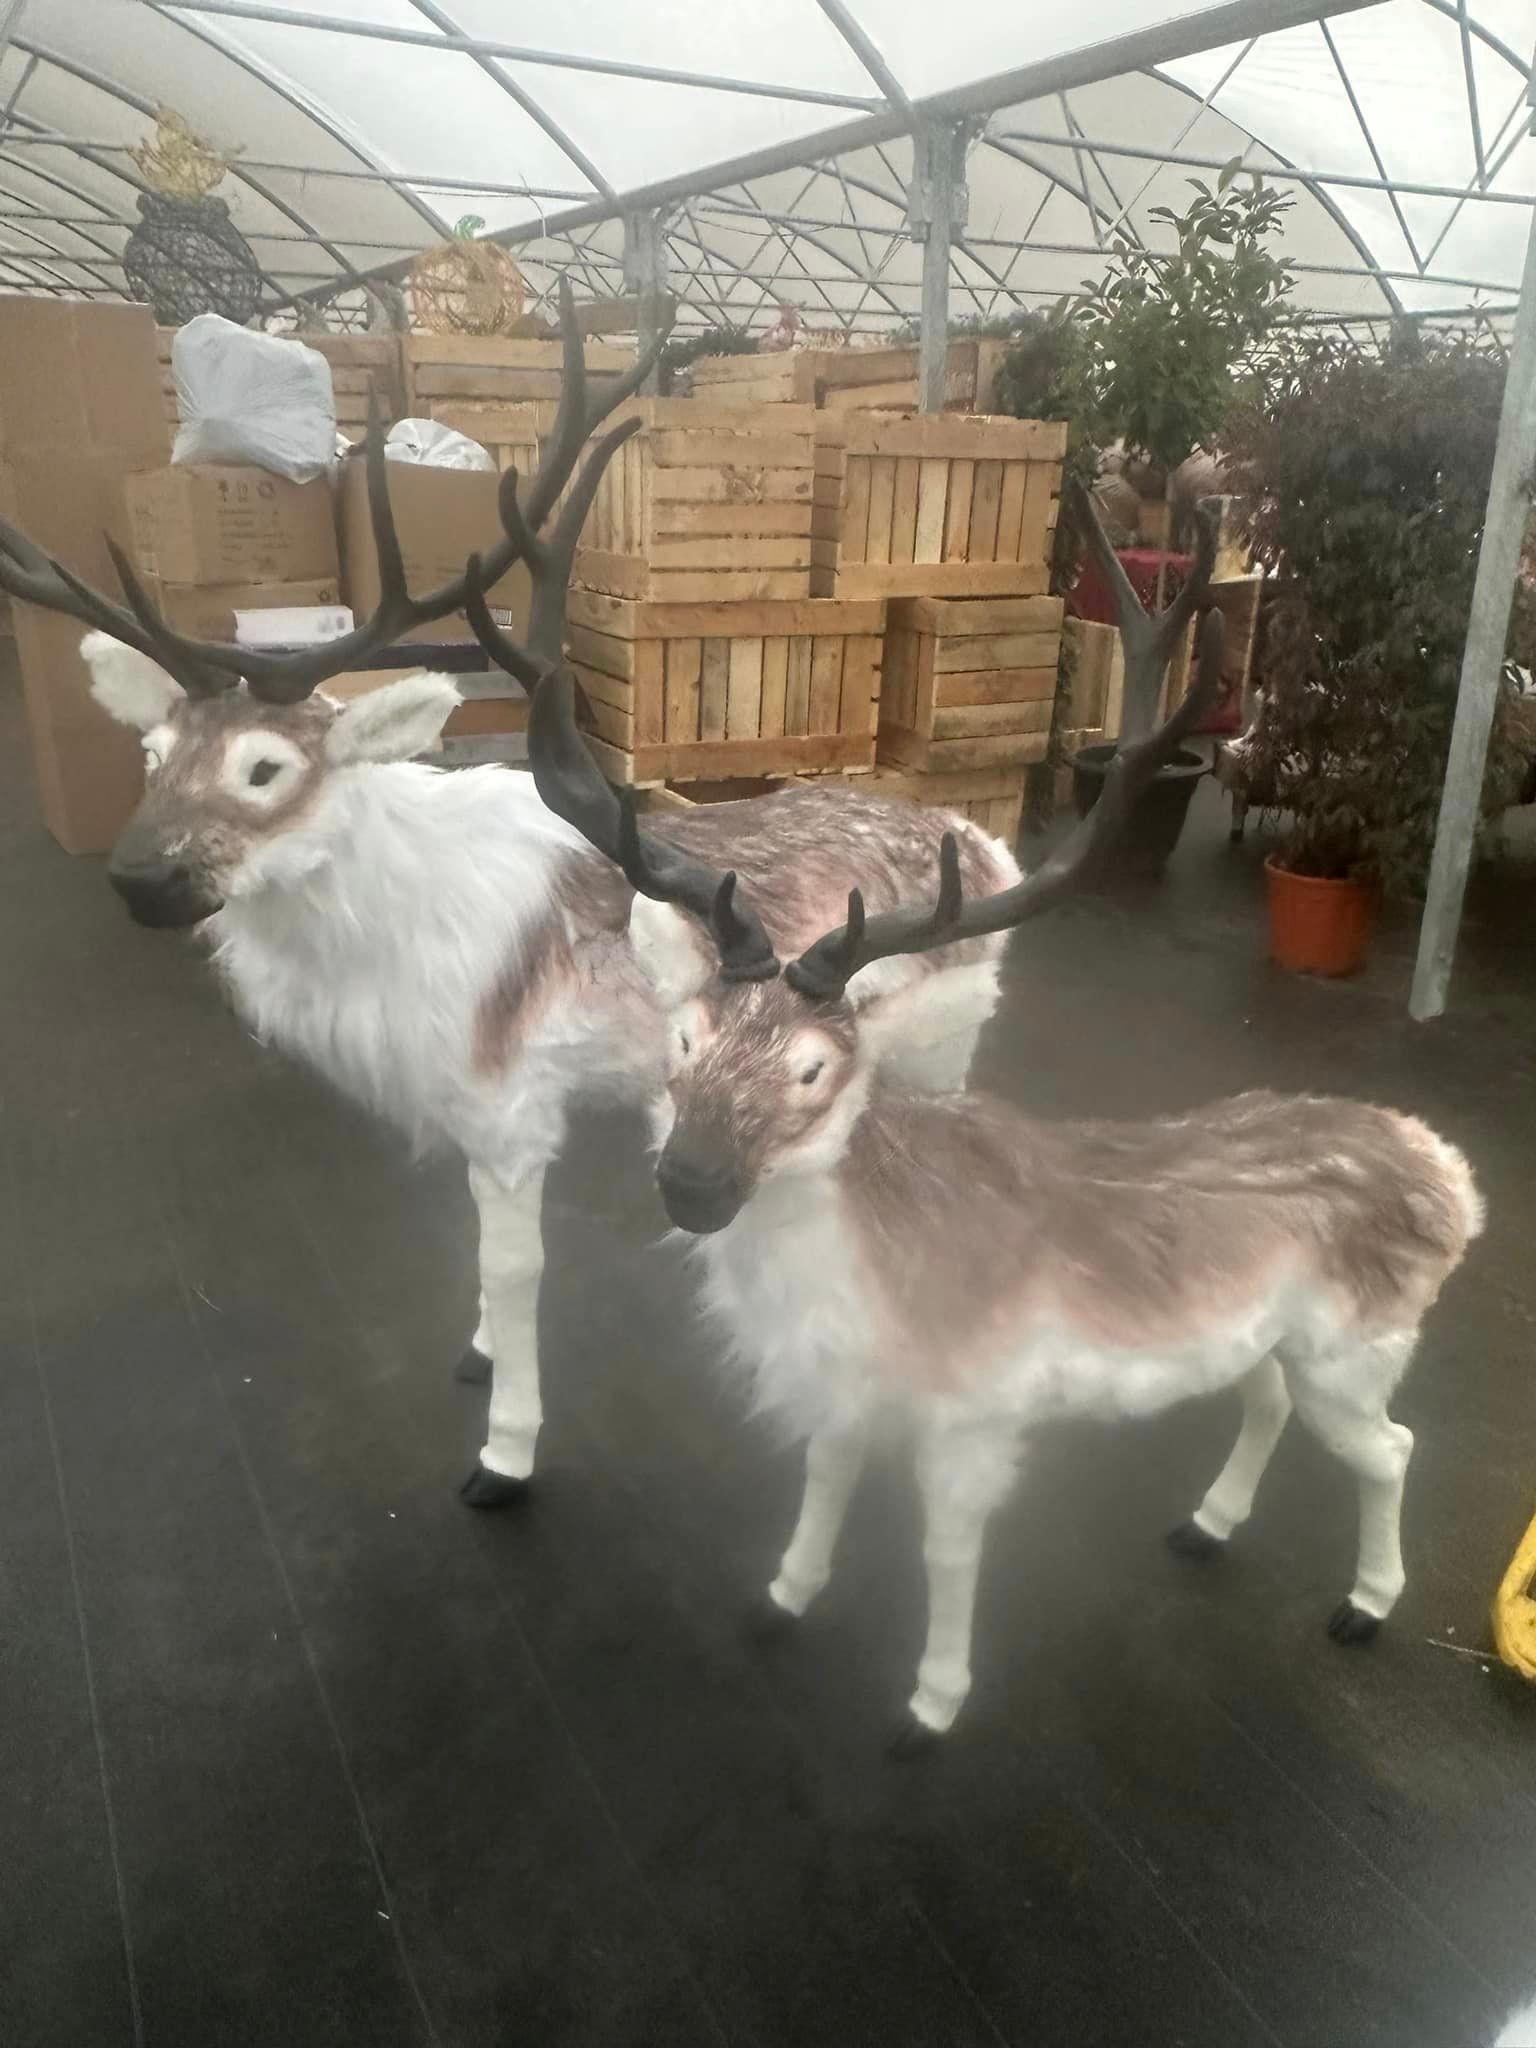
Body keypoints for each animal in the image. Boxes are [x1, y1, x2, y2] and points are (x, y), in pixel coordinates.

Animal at [0, 283, 1035, 1510]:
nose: (140, 876)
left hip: (942, 1047)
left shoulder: (509, 1110)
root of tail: (989, 848)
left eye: (265, 767)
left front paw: (505, 1451)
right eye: (152, 751)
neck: (383, 949)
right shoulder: (463, 1102)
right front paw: (481, 1353)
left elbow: (513, 1265)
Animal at [511, 539, 1483, 1752]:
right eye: (682, 1039)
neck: (858, 1279)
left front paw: (932, 1701)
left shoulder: (977, 1409)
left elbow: (949, 1551)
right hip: (1284, 1343)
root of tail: (1450, 1175)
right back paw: (1206, 1523)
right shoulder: (848, 1384)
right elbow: (823, 1477)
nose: (690, 1183)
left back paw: (1366, 1604)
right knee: (1266, 1400)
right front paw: (782, 1597)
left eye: (814, 1071)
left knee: (1394, 1447)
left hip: (1361, 1347)